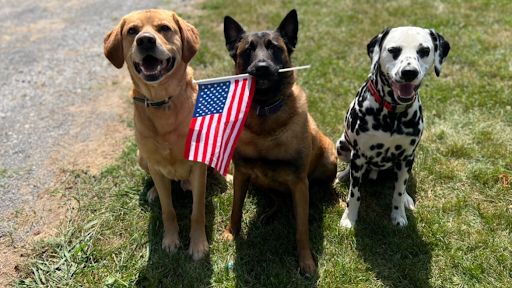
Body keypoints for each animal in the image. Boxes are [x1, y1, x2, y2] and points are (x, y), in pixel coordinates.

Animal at [103, 9, 209, 260]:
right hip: (141, 157)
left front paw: (198, 244)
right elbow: (167, 210)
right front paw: (170, 240)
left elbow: (197, 211)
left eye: (164, 28)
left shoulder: (198, 164)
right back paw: (152, 191)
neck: (163, 101)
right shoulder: (156, 165)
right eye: (132, 31)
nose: (145, 40)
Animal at [221, 9, 338, 274]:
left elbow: (302, 229)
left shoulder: (299, 183)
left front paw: (306, 260)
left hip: (329, 158)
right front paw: (231, 233)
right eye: (247, 50)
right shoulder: (242, 173)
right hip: (259, 182)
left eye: (274, 47)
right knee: (278, 199)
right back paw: (269, 213)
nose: (262, 67)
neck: (265, 111)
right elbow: (236, 209)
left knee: (328, 185)